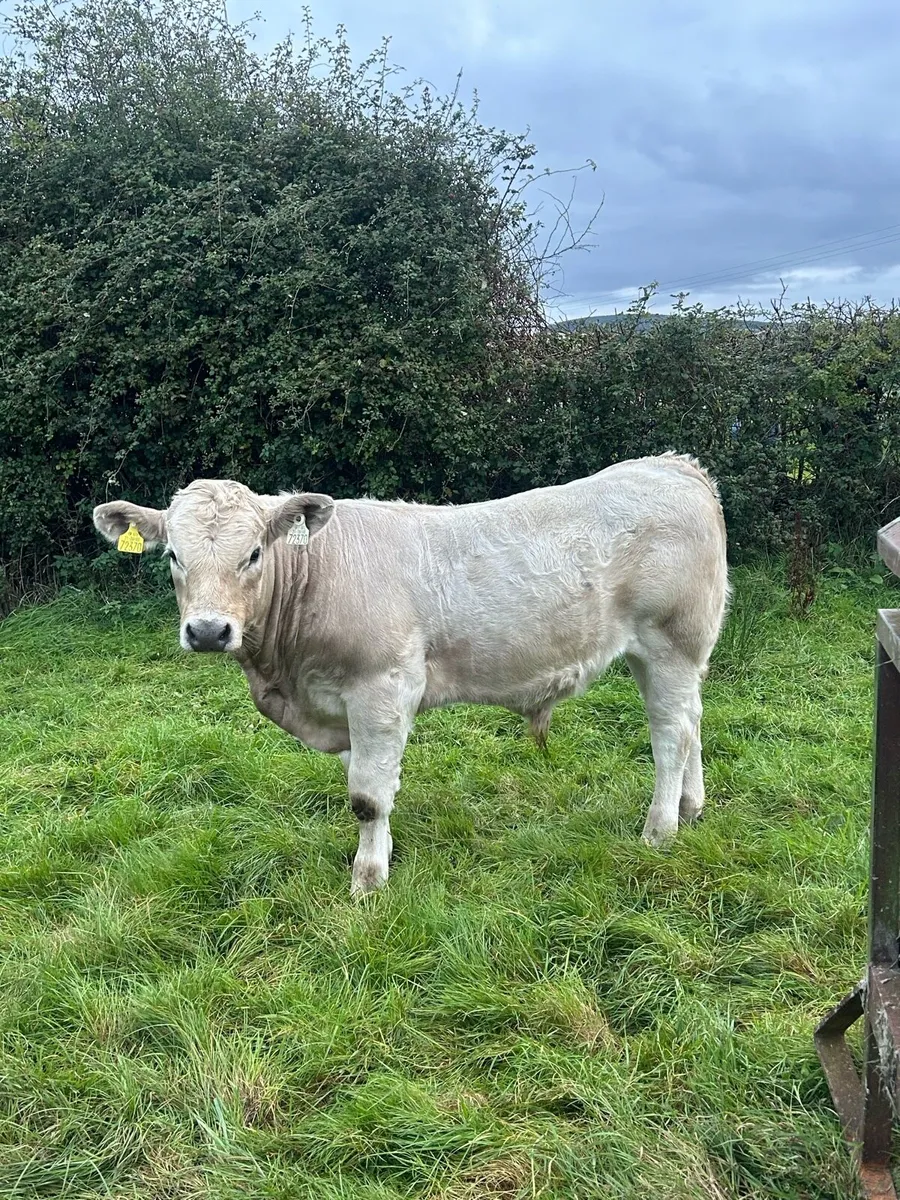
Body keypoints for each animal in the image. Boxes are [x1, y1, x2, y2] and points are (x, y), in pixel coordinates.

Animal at [93, 453, 729, 896]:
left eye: (253, 554)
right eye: (172, 555)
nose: (207, 631)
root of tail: (673, 465)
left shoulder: (381, 686)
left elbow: (366, 797)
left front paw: (368, 881)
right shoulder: (344, 704)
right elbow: (368, 784)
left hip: (670, 641)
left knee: (670, 735)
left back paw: (659, 830)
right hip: (671, 655)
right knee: (692, 721)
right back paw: (691, 809)